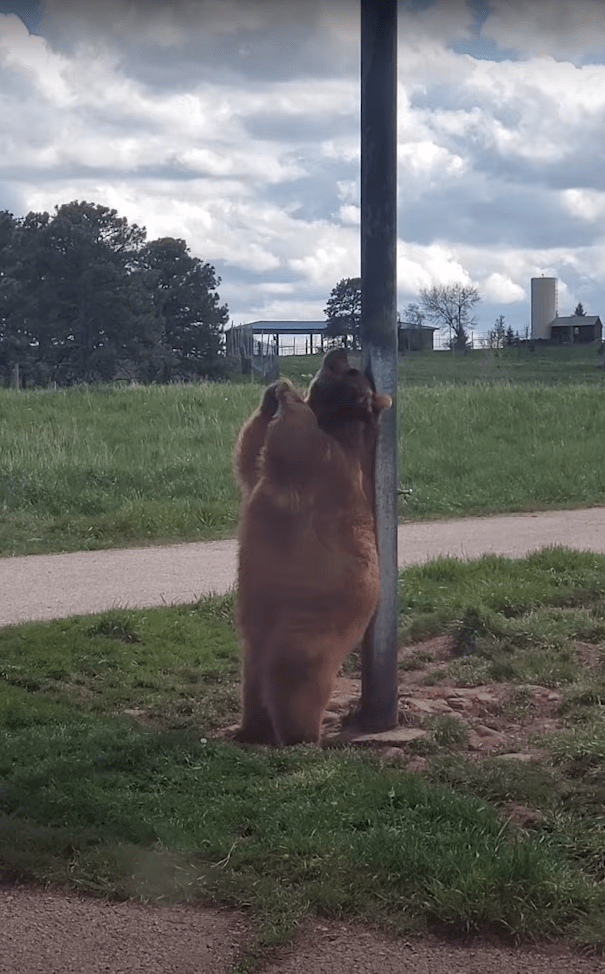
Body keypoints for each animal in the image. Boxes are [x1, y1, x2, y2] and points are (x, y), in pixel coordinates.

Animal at [233, 348, 392, 745]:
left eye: (351, 371)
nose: (337, 350)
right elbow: (250, 459)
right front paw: (270, 394)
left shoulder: (333, 465)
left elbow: (298, 441)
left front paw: (289, 394)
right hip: (258, 648)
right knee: (253, 685)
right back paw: (250, 730)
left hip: (304, 636)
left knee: (294, 686)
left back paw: (299, 736)